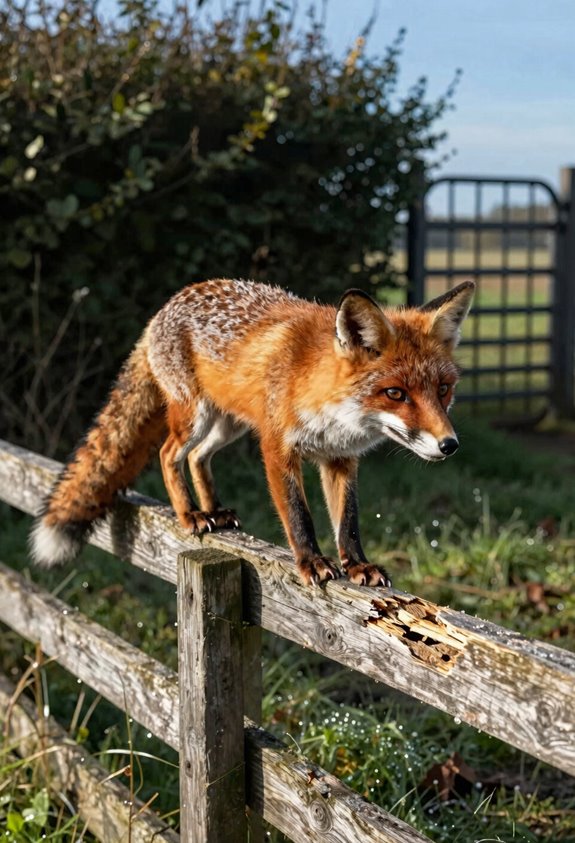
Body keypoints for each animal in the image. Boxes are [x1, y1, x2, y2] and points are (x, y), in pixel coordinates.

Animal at [30, 278, 474, 587]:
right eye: (395, 393)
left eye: (443, 389)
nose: (449, 445)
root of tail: (165, 307)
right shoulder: (277, 447)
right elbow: (298, 516)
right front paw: (312, 562)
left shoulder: (340, 459)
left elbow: (347, 522)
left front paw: (357, 564)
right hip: (194, 417)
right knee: (169, 453)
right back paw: (191, 514)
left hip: (228, 425)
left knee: (198, 457)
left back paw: (214, 511)